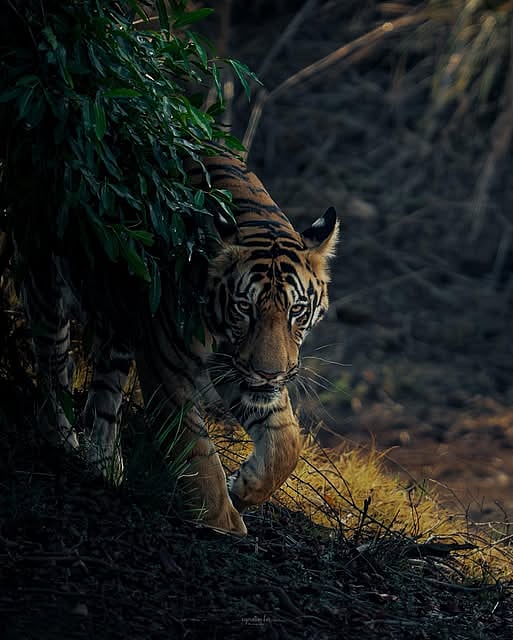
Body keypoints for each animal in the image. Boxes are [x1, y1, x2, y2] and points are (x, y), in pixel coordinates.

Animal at [20, 153, 338, 537]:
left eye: (296, 311)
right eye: (244, 308)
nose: (269, 374)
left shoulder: (235, 368)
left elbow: (286, 442)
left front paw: (241, 489)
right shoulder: (168, 366)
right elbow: (196, 452)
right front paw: (220, 524)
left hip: (119, 329)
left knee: (104, 400)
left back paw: (106, 470)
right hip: (46, 274)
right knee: (53, 363)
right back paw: (61, 442)